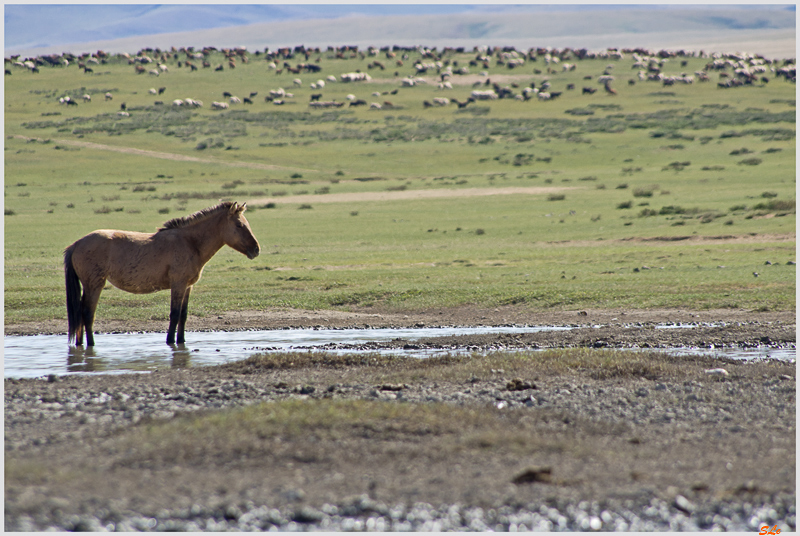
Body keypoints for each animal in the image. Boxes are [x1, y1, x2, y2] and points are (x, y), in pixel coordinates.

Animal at [65, 202, 260, 348]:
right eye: (239, 225)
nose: (256, 249)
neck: (190, 242)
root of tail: (77, 243)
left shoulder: (188, 286)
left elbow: (183, 315)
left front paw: (181, 341)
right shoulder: (178, 284)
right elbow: (174, 314)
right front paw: (170, 342)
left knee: (81, 314)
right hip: (94, 285)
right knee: (87, 313)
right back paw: (91, 344)